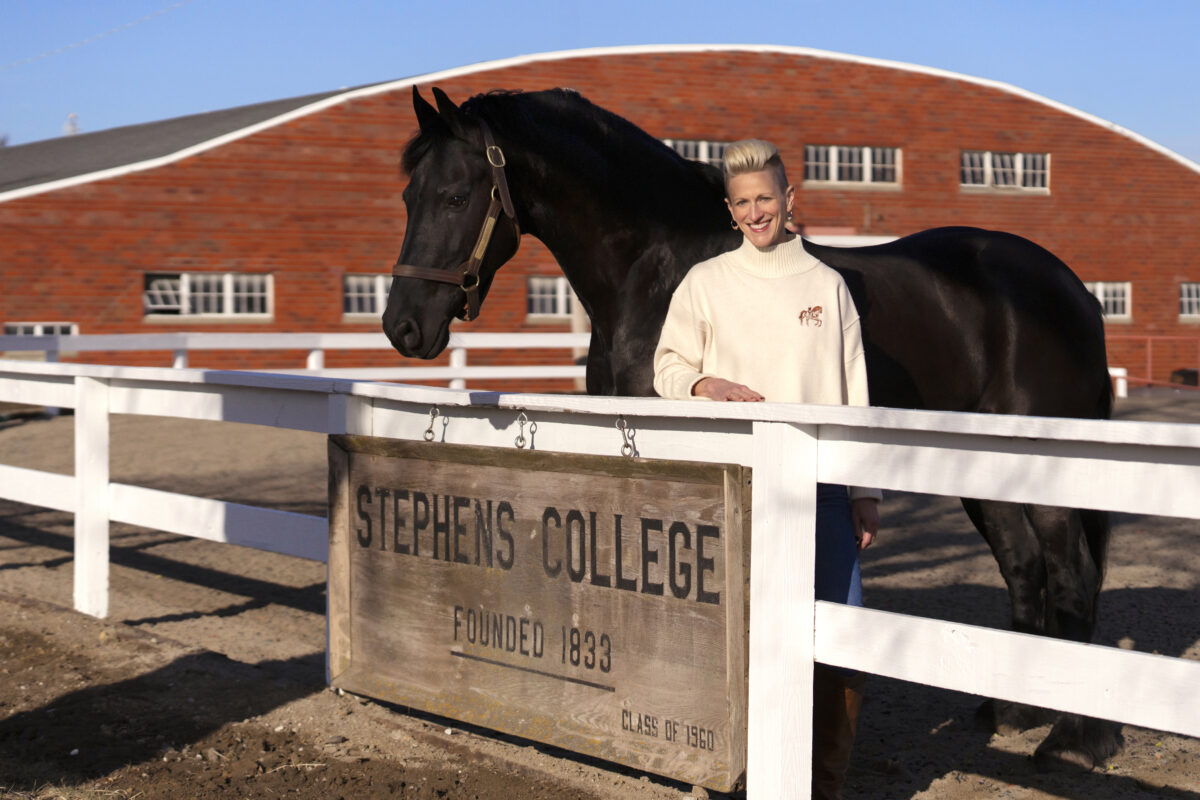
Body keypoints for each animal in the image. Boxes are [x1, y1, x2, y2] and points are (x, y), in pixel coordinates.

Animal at [382, 86, 1121, 771]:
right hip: (981, 466)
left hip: (1048, 468)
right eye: (409, 197)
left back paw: (1071, 741)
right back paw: (1009, 712)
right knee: (1024, 566)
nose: (403, 327)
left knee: (1073, 576)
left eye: (455, 196)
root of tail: (1074, 292)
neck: (655, 268)